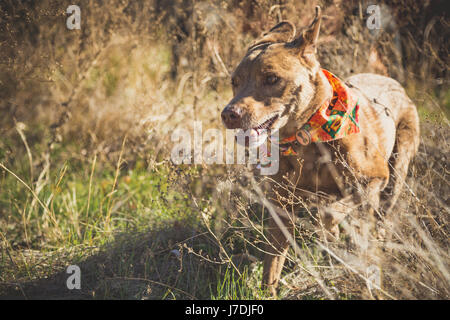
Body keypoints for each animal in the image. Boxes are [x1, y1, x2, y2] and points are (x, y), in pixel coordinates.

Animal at [220, 6, 420, 296]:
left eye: (271, 79)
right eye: (234, 81)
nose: (228, 114)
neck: (307, 140)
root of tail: (391, 80)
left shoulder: (374, 178)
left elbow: (329, 215)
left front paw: (332, 233)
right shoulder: (281, 203)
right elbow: (273, 260)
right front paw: (268, 292)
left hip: (396, 171)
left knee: (380, 214)